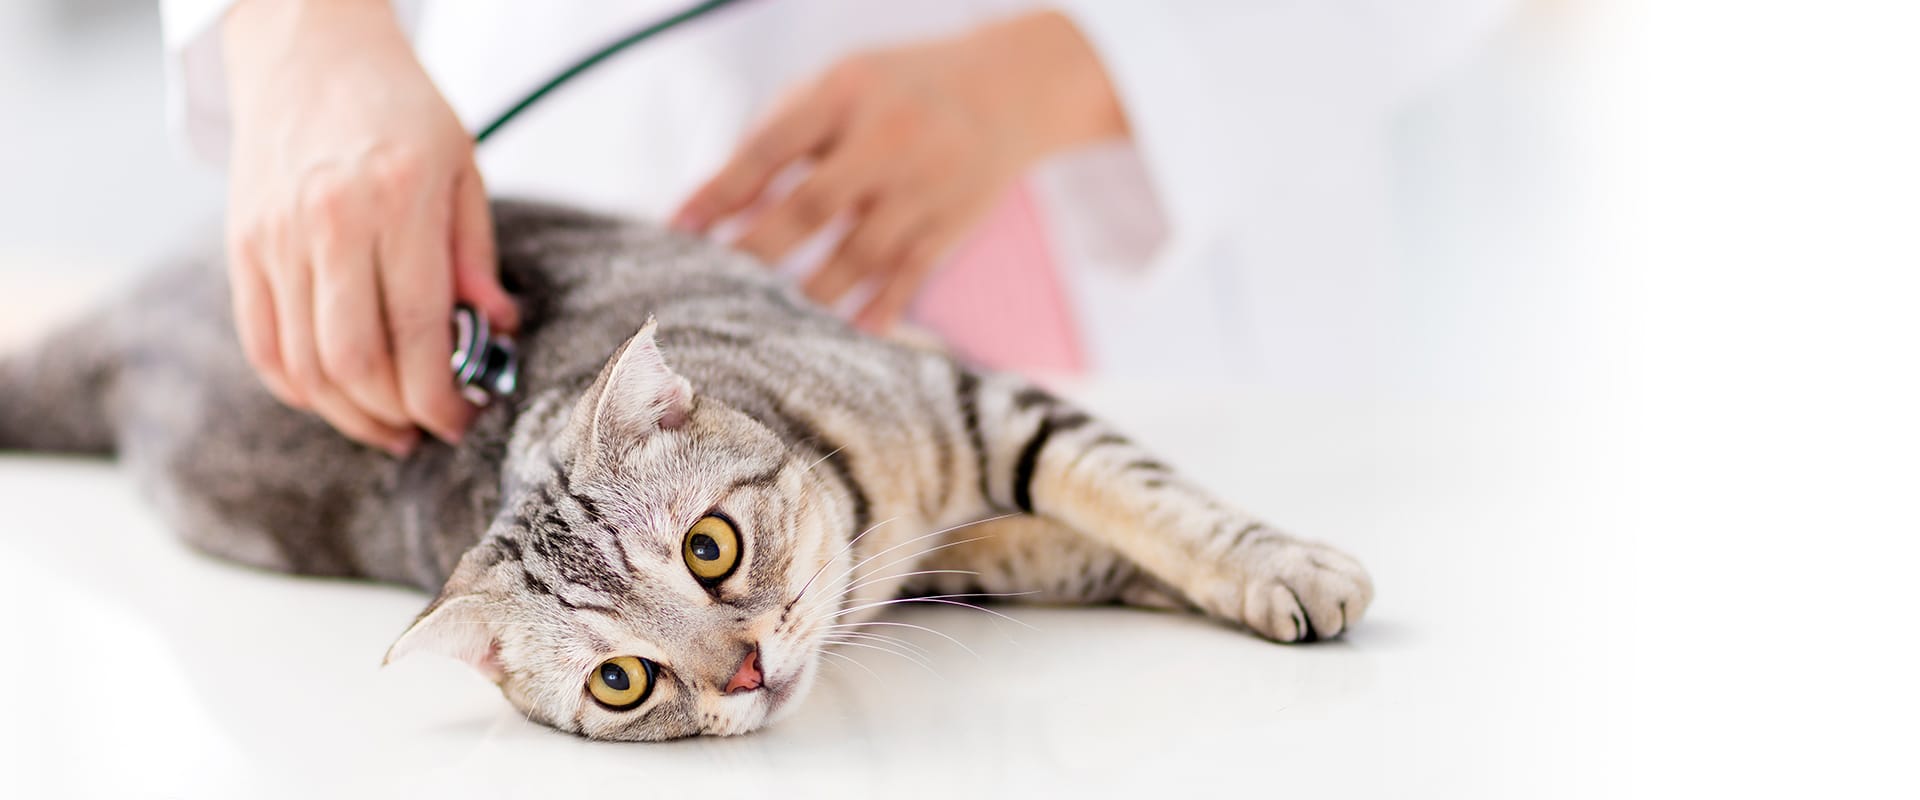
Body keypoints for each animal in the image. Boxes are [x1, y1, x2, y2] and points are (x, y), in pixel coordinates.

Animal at [0, 201, 1367, 740]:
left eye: (711, 546)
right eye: (622, 678)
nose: (748, 668)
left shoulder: (980, 404)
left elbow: (1147, 496)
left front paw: (1280, 565)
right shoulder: (972, 538)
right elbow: (1088, 545)